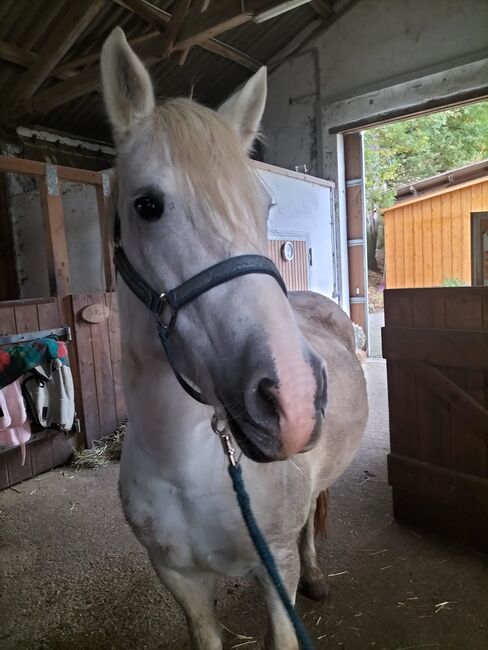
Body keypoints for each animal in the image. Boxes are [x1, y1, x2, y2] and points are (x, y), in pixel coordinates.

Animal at [100, 26, 366, 648]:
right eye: (147, 205)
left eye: (264, 204)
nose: (292, 399)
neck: (186, 464)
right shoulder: (178, 578)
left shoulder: (275, 571)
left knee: (312, 519)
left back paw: (317, 577)